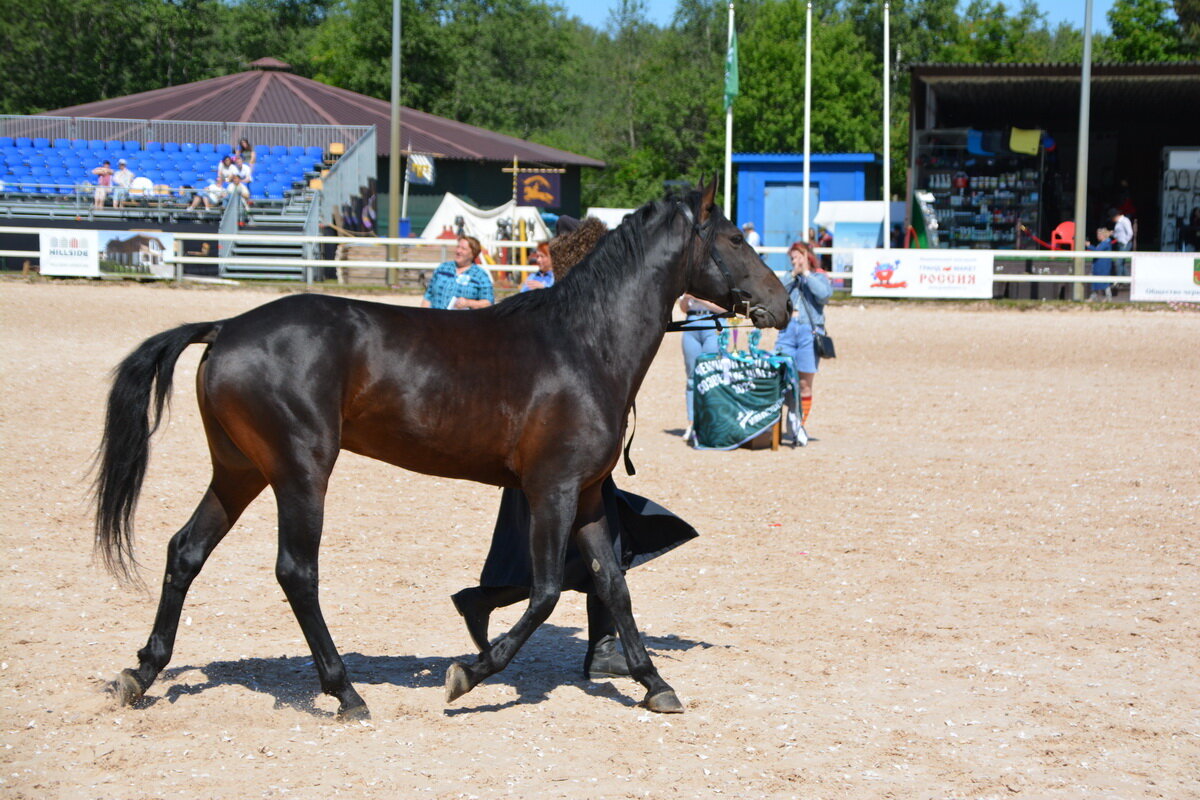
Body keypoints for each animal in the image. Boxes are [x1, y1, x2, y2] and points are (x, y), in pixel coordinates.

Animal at [93, 179, 787, 719]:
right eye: (734, 239)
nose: (781, 304)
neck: (583, 344)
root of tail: (226, 328)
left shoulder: (587, 494)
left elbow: (613, 586)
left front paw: (653, 682)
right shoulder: (552, 490)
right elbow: (544, 592)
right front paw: (468, 675)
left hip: (240, 471)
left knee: (186, 552)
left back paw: (142, 672)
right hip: (300, 471)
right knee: (296, 572)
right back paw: (345, 691)